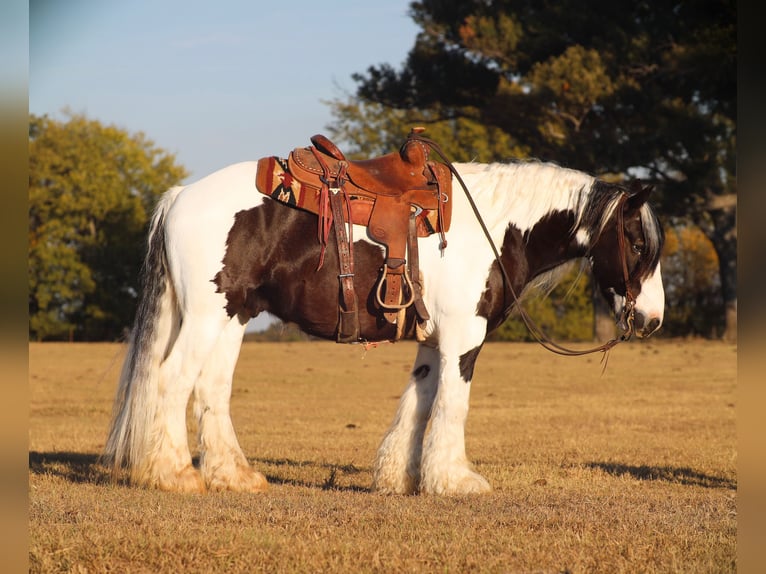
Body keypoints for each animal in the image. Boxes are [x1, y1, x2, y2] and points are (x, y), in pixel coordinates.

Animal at [103, 152, 664, 496]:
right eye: (638, 244)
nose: (653, 319)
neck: (496, 226)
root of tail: (181, 196)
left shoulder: (434, 342)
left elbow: (419, 401)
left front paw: (403, 477)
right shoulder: (465, 338)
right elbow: (452, 405)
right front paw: (454, 480)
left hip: (231, 316)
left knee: (211, 388)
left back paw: (234, 476)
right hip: (205, 316)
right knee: (172, 379)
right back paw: (174, 473)